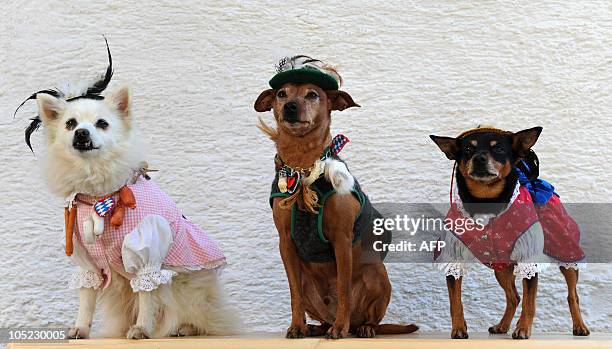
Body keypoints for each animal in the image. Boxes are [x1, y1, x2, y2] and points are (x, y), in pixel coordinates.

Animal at [20, 40, 238, 338]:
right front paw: (81, 329)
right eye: (70, 124)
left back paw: (183, 329)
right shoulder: (87, 261)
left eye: (102, 124)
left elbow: (147, 295)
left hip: (186, 288)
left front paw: (142, 329)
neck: (98, 194)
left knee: (207, 321)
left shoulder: (146, 252)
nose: (82, 133)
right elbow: (86, 298)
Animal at [252, 55, 416, 338]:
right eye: (282, 94)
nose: (290, 107)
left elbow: (343, 289)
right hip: (310, 285)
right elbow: (293, 293)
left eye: (312, 94)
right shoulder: (286, 242)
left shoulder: (342, 239)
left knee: (366, 315)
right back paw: (316, 327)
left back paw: (358, 328)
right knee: (317, 310)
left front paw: (340, 328)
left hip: (377, 274)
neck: (303, 167)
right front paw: (296, 326)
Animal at [428, 126, 592, 338]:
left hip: (566, 251)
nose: (479, 158)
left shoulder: (529, 259)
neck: (486, 200)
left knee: (572, 294)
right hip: (502, 267)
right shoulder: (453, 257)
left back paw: (580, 326)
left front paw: (523, 330)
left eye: (498, 149)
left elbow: (530, 303)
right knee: (514, 297)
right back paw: (502, 326)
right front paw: (458, 329)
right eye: (468, 150)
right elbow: (455, 302)